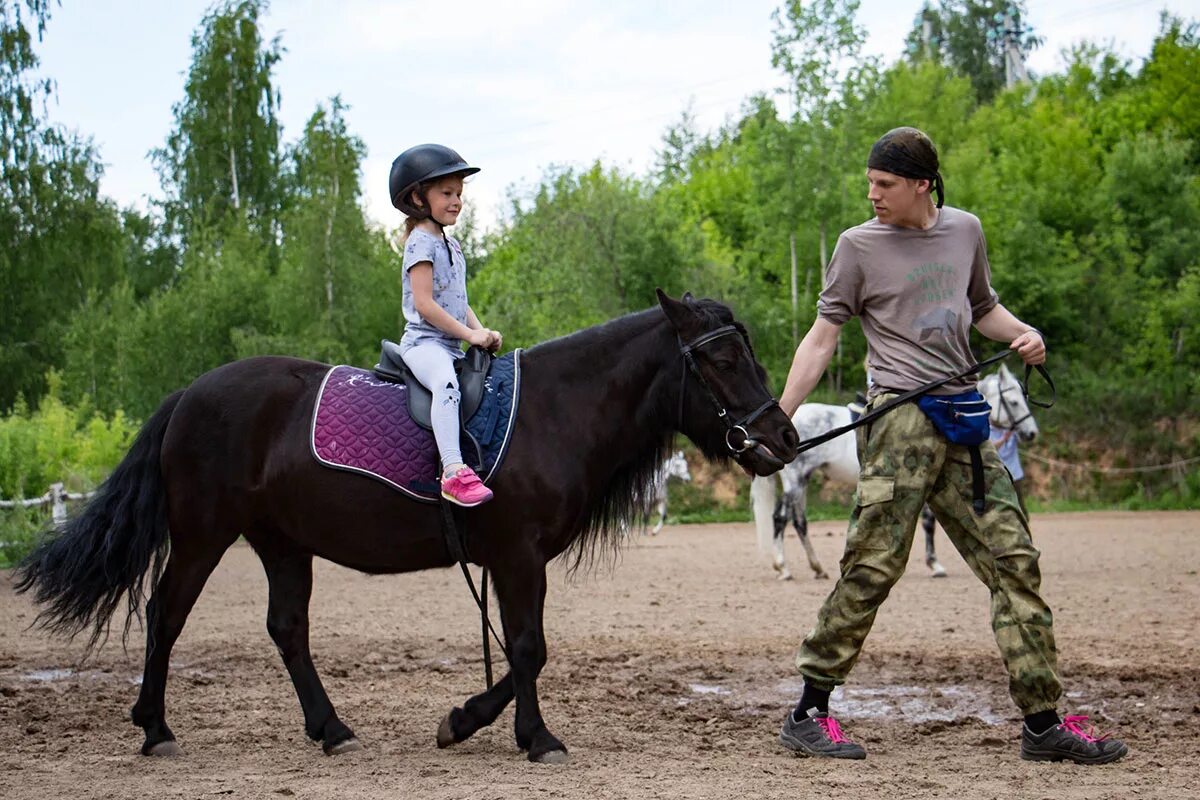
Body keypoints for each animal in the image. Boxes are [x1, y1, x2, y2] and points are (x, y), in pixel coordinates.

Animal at [16, 292, 796, 762]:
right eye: (724, 359)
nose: (783, 438)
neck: (553, 411)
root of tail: (190, 394)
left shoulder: (511, 560)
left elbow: (520, 653)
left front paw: (466, 721)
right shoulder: (517, 557)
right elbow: (529, 648)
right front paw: (533, 736)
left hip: (282, 543)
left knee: (286, 630)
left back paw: (330, 728)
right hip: (204, 535)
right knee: (165, 616)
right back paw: (156, 729)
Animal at [748, 362, 1041, 582]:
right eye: (1014, 401)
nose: (1031, 433)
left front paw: (933, 563)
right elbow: (929, 521)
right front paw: (935, 565)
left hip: (803, 481)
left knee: (799, 522)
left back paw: (817, 567)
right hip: (795, 481)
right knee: (780, 518)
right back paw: (783, 567)